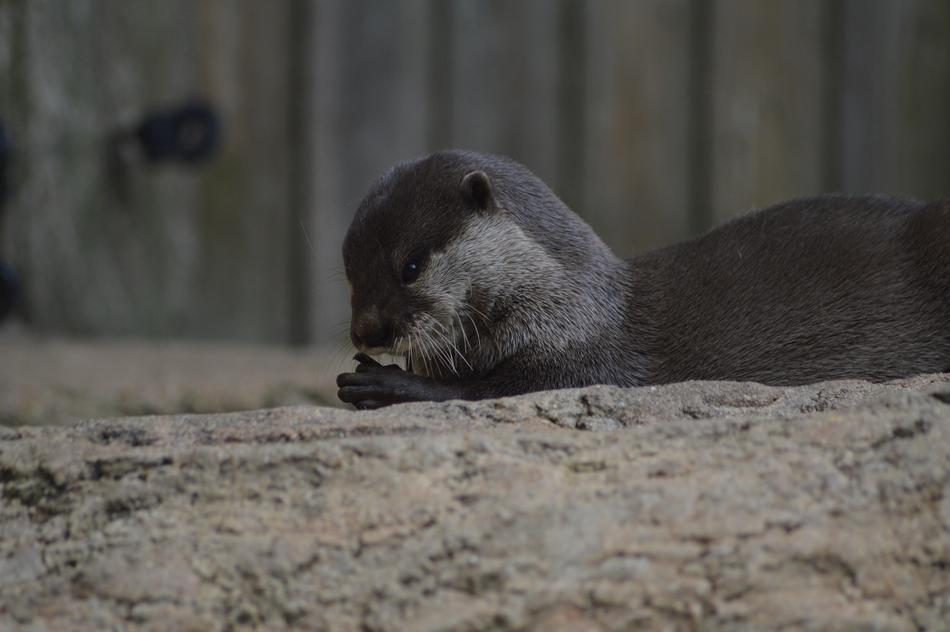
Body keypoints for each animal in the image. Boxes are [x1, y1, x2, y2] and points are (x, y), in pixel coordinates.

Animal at [336, 150, 950, 409]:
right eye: (348, 271)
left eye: (410, 265)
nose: (365, 330)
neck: (568, 302)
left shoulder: (584, 357)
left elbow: (492, 389)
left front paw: (388, 384)